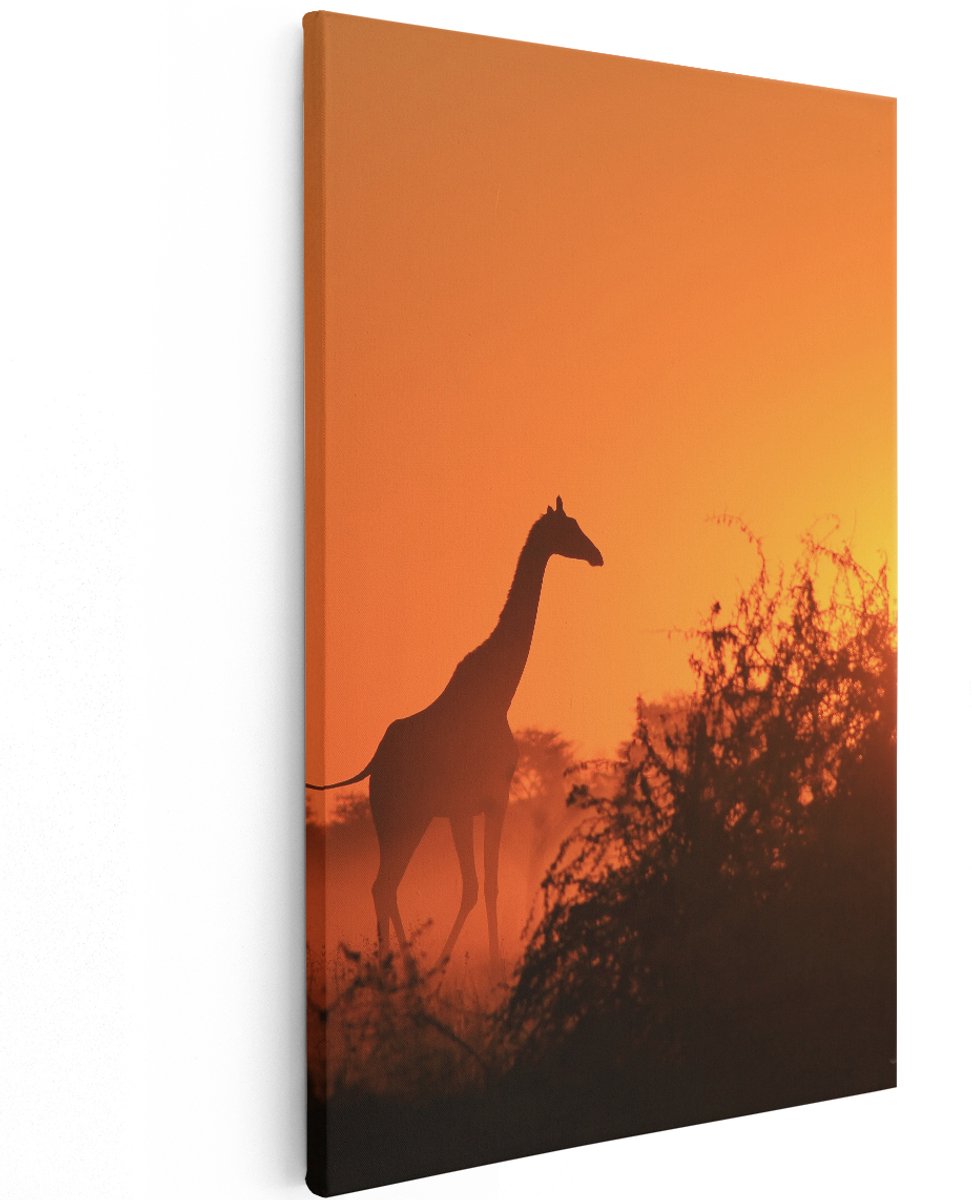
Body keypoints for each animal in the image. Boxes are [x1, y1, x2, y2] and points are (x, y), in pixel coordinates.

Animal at [309, 496, 603, 974]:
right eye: (569, 528)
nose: (597, 555)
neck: (498, 693)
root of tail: (374, 763)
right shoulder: (485, 801)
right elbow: (482, 886)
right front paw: (484, 963)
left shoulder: (471, 807)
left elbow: (479, 885)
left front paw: (463, 962)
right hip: (400, 816)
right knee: (384, 883)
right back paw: (397, 967)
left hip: (409, 817)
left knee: (384, 884)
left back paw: (400, 964)